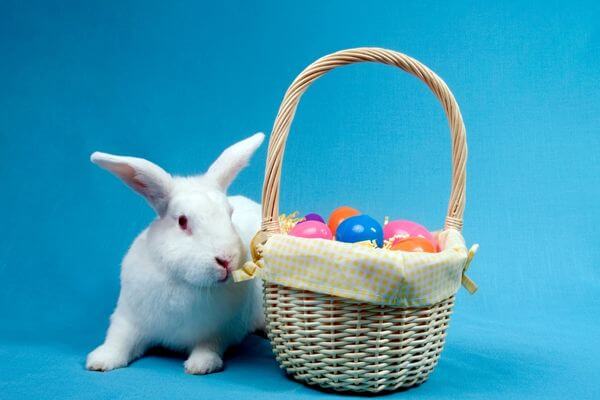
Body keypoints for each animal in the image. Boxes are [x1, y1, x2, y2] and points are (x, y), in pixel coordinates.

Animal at [85, 133, 264, 374]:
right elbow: (119, 339)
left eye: (230, 215)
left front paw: (201, 365)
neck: (182, 281)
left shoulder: (223, 329)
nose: (226, 260)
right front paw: (100, 361)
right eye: (182, 221)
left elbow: (209, 345)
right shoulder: (128, 317)